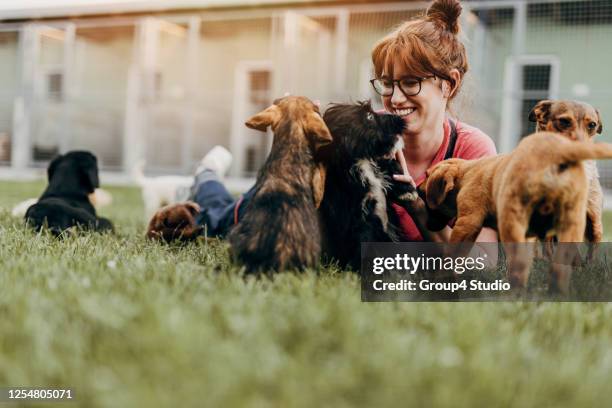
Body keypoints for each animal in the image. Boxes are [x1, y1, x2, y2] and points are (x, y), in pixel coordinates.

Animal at [316, 100, 420, 270]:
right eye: (369, 116)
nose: (400, 119)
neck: (361, 161)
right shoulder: (360, 220)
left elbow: (389, 164)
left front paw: (407, 190)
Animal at [424, 132, 612, 292]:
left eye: (427, 175)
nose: (418, 186)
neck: (466, 172)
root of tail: (557, 152)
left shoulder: (467, 223)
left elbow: (451, 255)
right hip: (569, 226)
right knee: (560, 269)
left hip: (512, 222)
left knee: (519, 268)